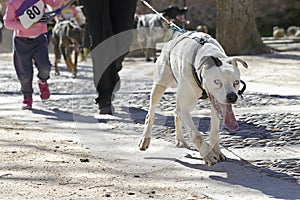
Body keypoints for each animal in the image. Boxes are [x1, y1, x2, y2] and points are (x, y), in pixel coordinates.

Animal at [139, 31, 247, 166]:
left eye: (236, 82)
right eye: (217, 81)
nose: (232, 97)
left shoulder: (215, 106)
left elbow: (214, 132)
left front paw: (217, 151)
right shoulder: (185, 109)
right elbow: (196, 135)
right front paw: (208, 155)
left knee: (176, 113)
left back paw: (180, 140)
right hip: (159, 86)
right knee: (151, 114)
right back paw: (145, 139)